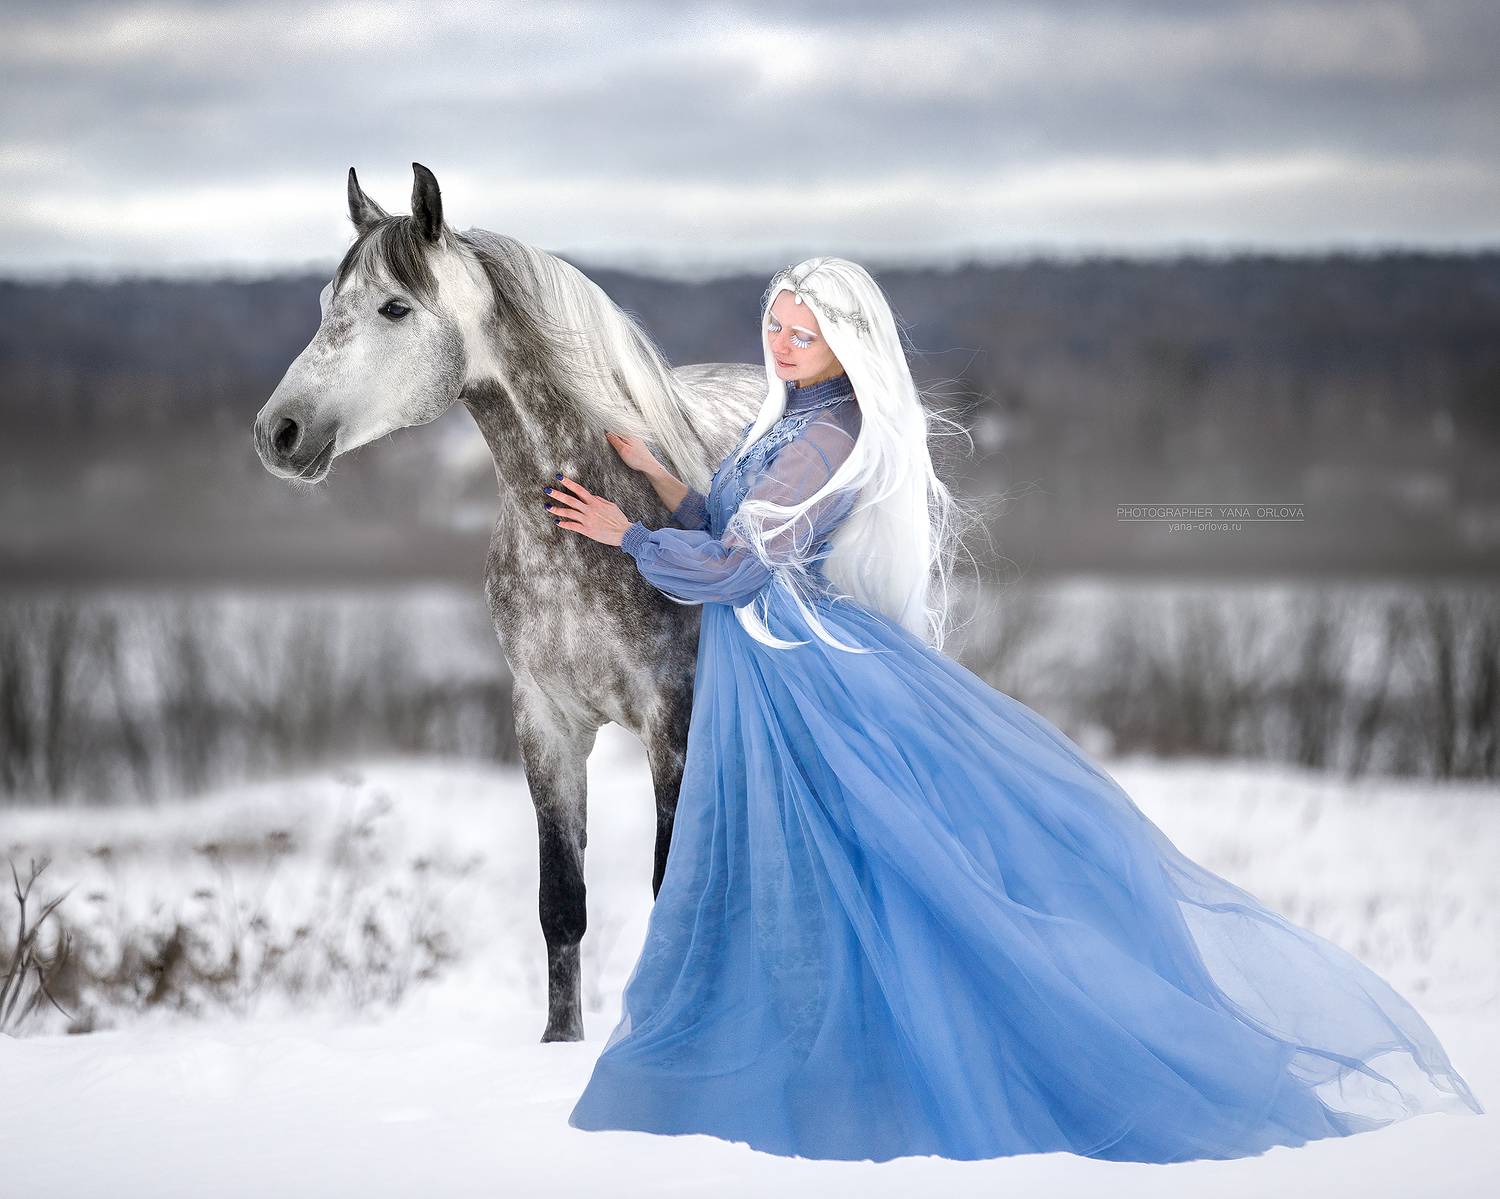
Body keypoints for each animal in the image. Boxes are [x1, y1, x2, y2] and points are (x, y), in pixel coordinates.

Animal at [253, 162, 762, 1042]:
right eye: (326, 304)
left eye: (395, 307)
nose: (278, 431)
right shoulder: (545, 722)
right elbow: (562, 903)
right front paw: (562, 1040)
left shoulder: (675, 719)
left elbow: (673, 887)